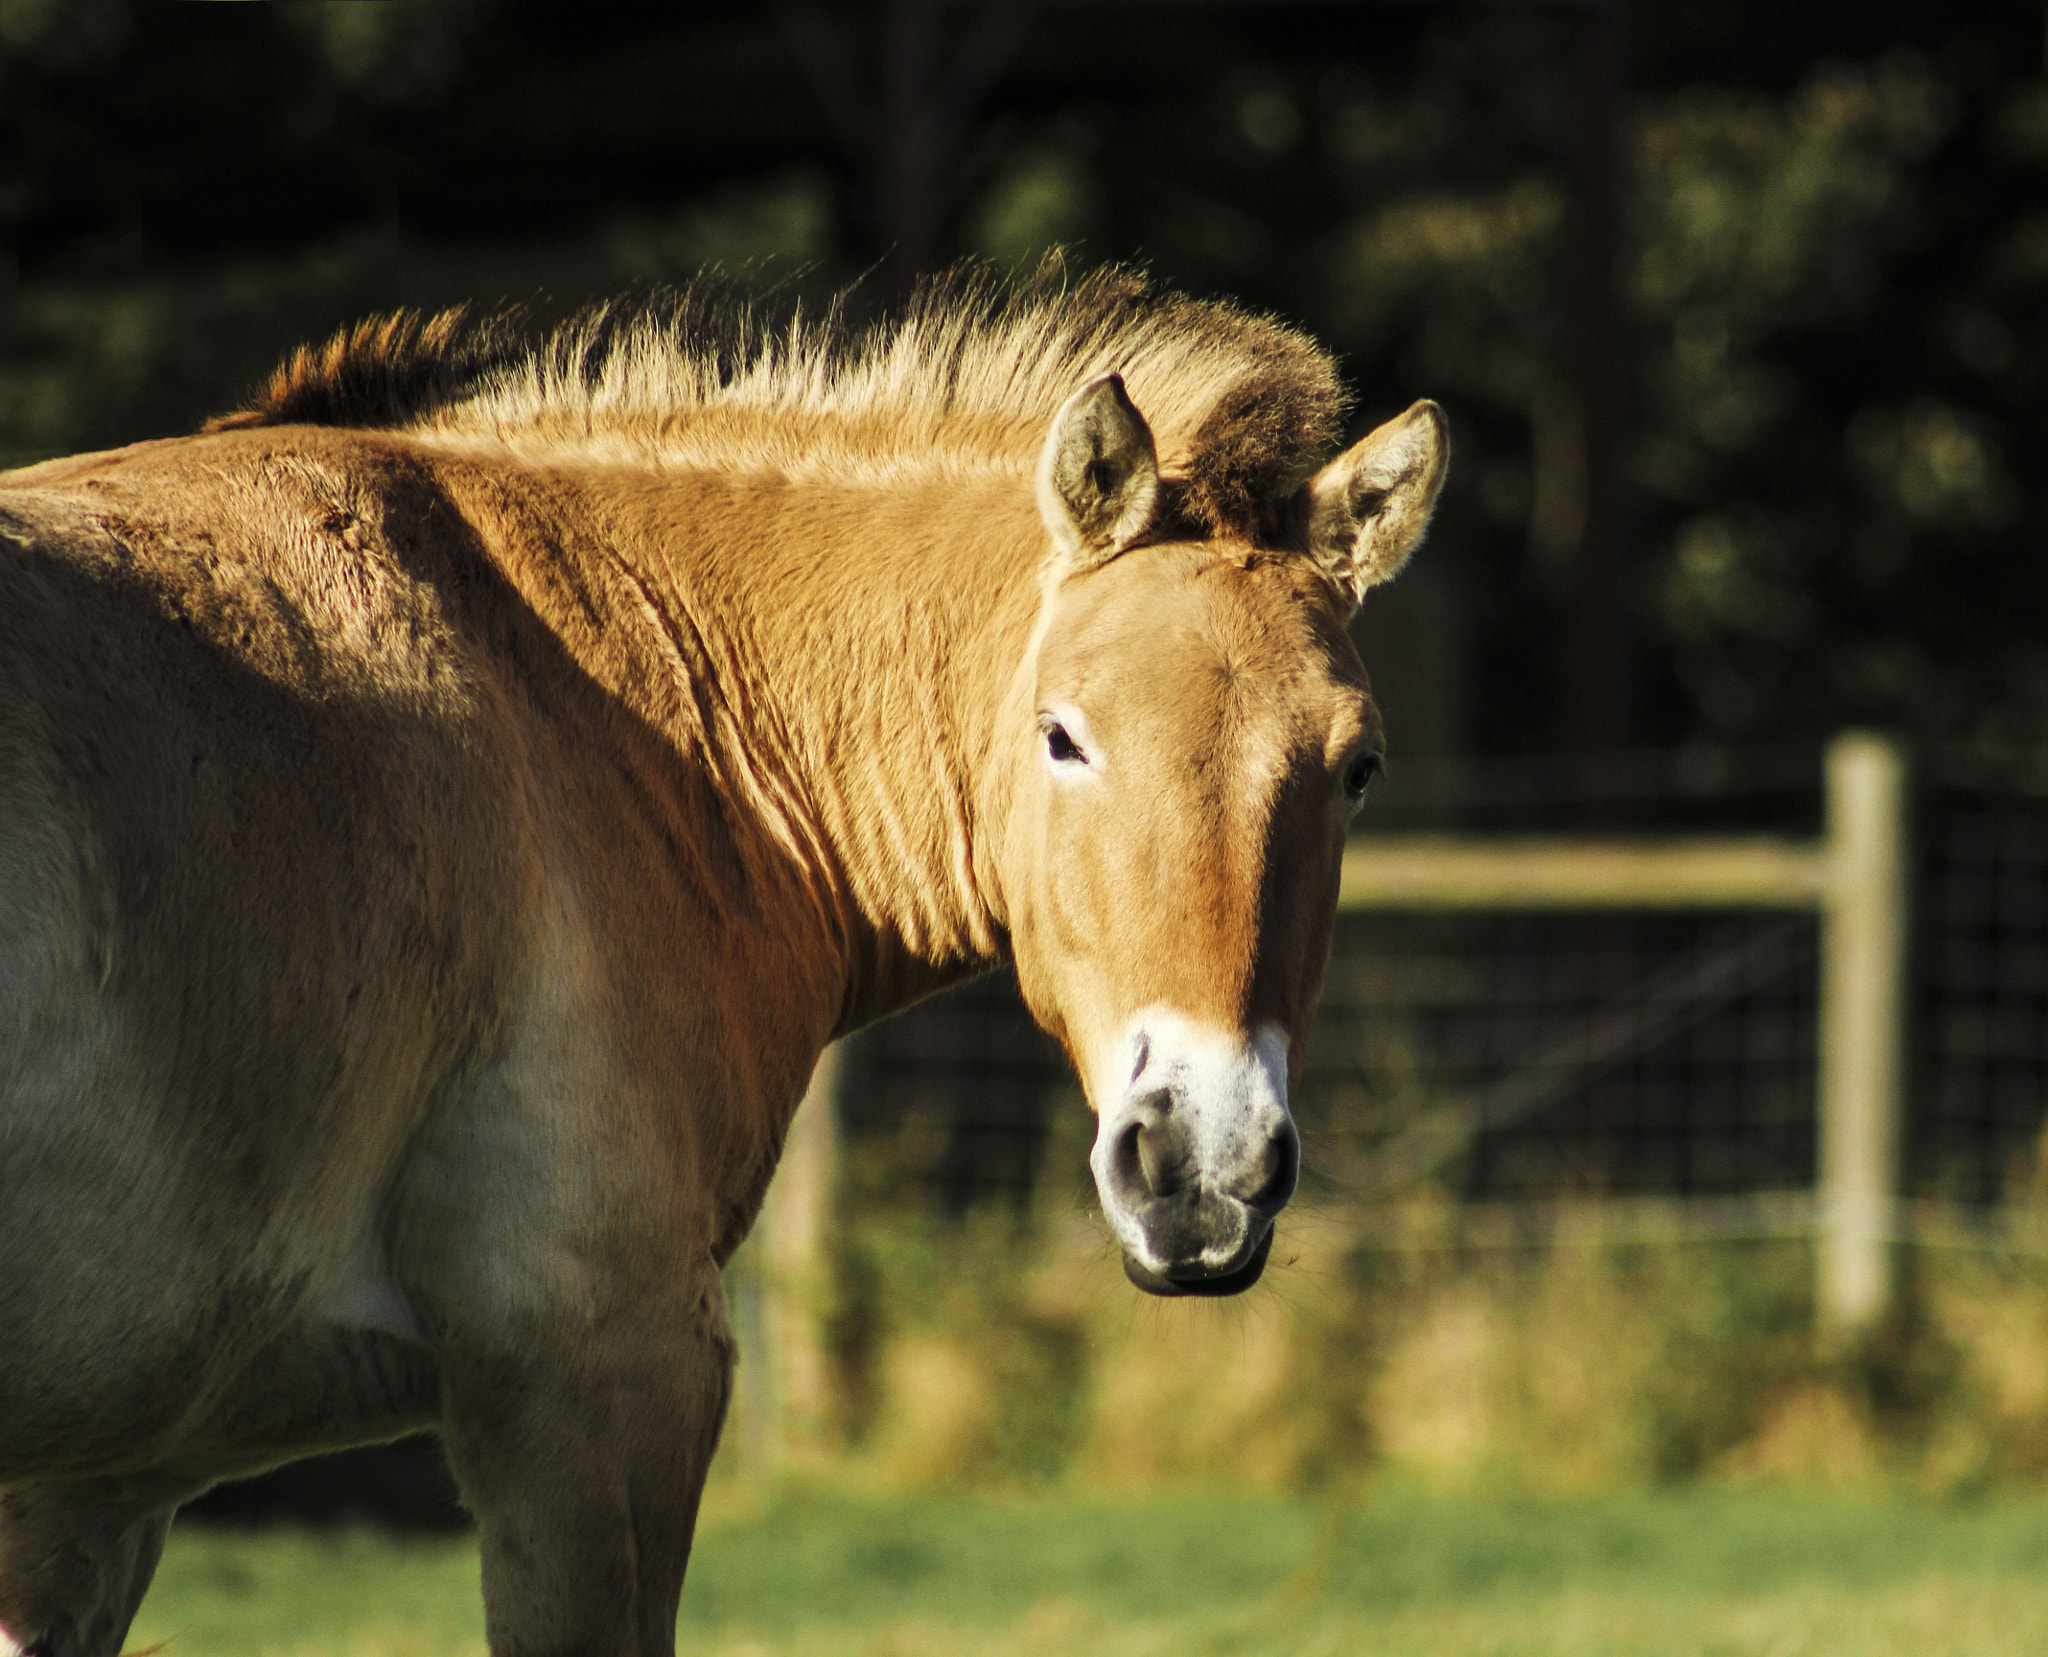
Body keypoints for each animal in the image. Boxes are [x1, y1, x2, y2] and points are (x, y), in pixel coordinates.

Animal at [0, 272, 1441, 1654]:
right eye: (1062, 736)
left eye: (1358, 767)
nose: (1204, 1167)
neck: (590, 690)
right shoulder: (604, 1386)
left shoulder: (86, 1502)